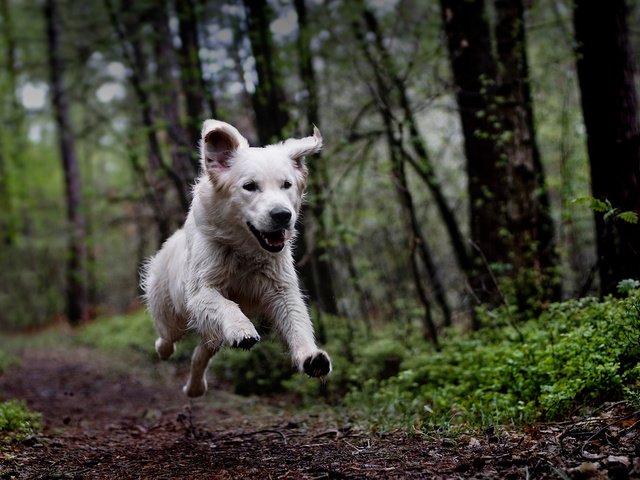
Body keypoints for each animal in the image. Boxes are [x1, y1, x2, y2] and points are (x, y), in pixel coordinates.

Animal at [142, 120, 332, 398]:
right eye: (250, 186)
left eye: (286, 184)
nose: (282, 215)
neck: (244, 252)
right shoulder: (201, 292)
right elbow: (228, 305)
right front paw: (243, 330)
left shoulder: (281, 289)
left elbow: (297, 322)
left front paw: (311, 357)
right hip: (170, 311)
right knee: (167, 337)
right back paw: (164, 352)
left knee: (201, 351)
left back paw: (195, 388)